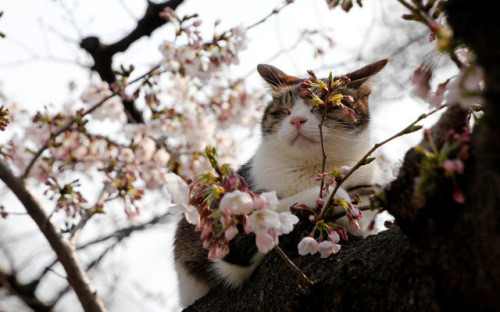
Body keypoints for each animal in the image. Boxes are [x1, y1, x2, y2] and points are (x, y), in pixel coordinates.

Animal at [174, 58, 388, 308]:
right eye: (285, 111)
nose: (296, 120)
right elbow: (271, 210)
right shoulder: (229, 240)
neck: (312, 169)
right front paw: (333, 198)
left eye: (324, 106)